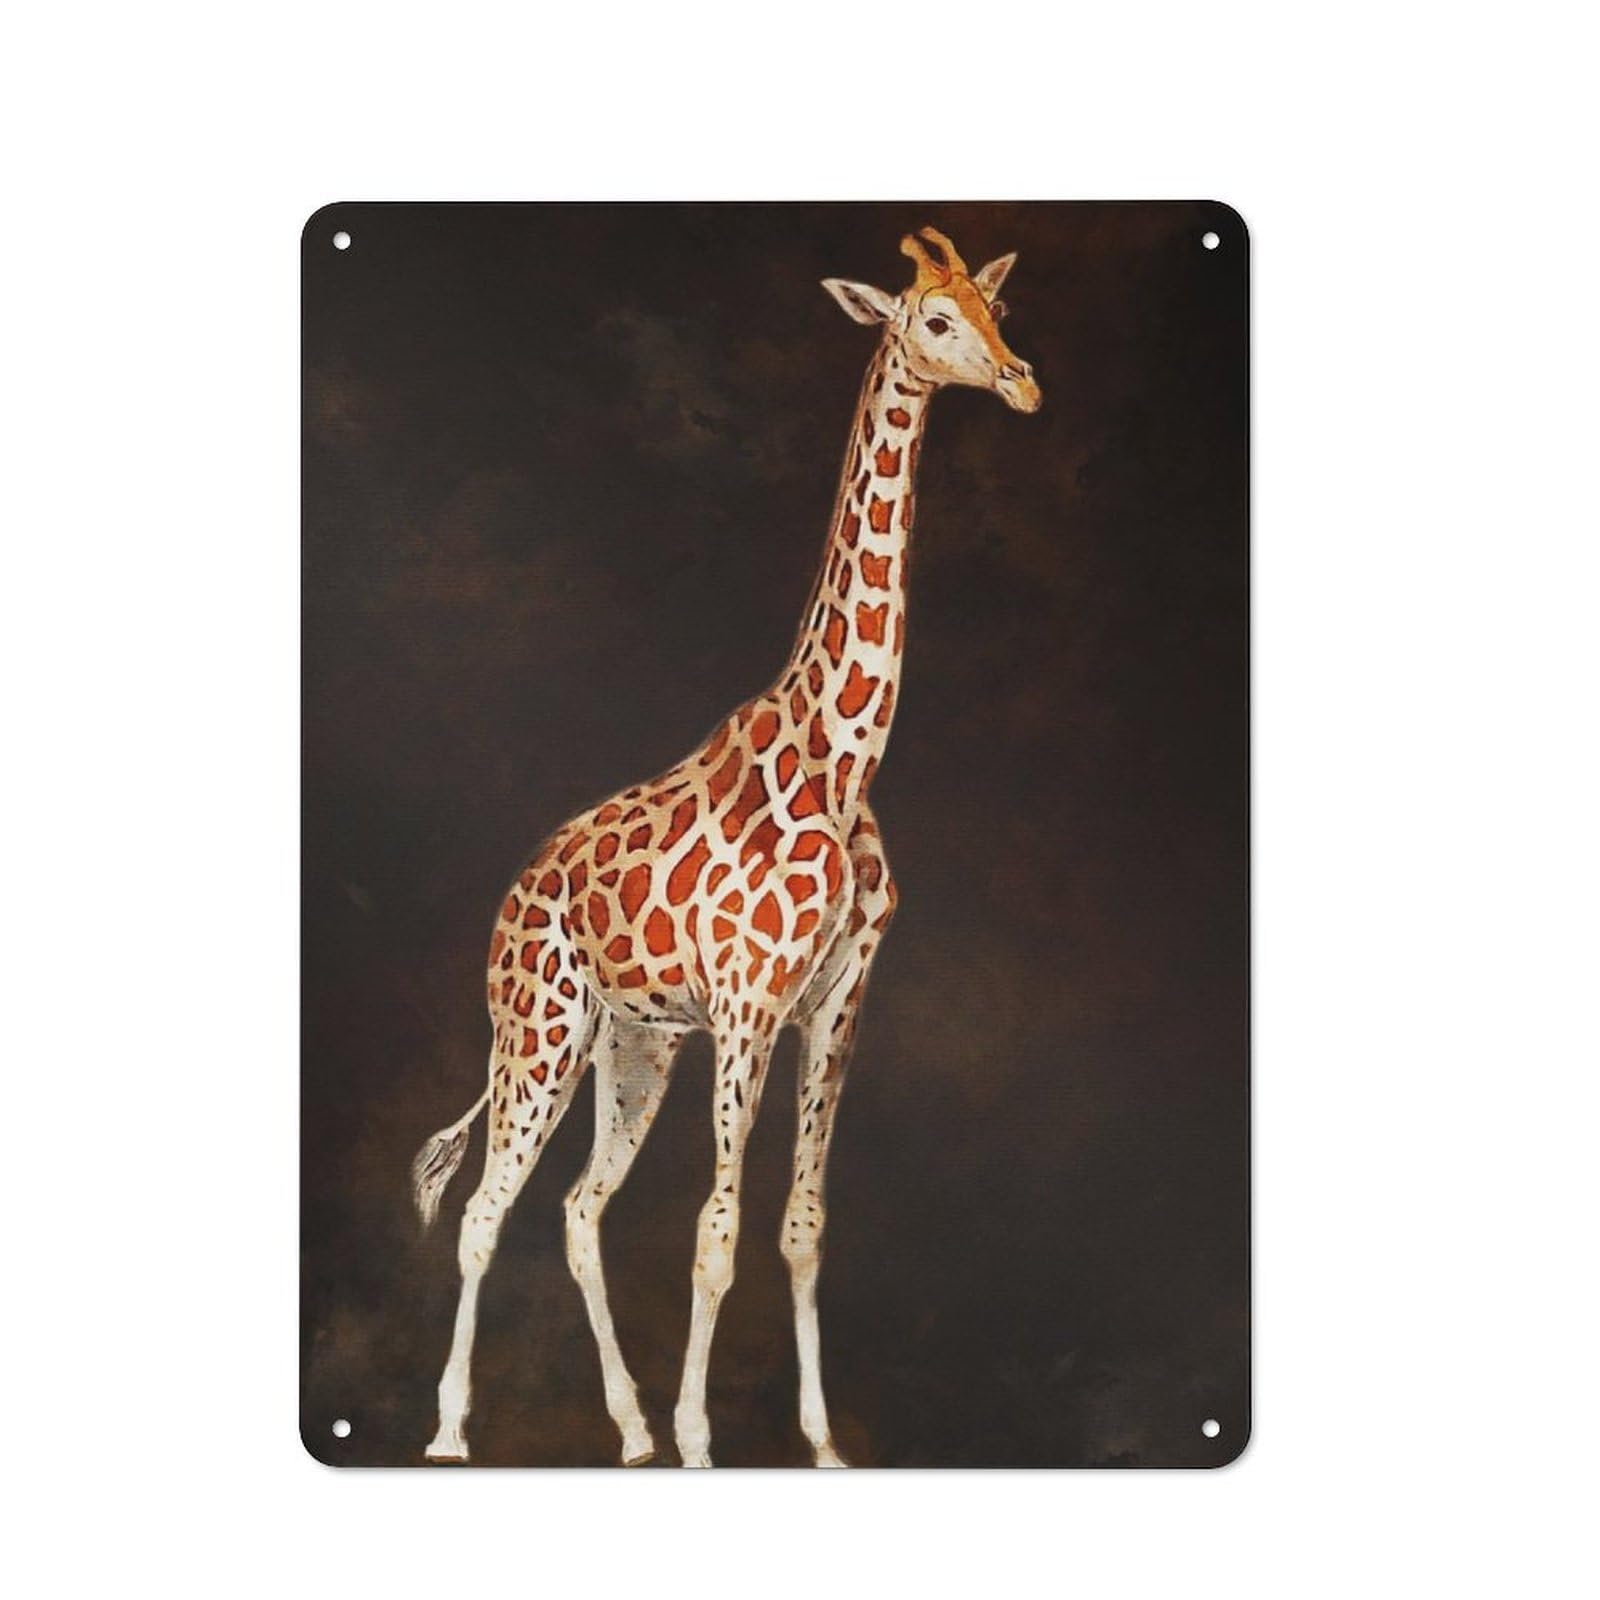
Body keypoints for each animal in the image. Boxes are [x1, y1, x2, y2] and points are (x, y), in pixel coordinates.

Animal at [411, 226, 1041, 1468]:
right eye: (934, 320)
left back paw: (628, 1429)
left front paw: (820, 1442)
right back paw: (455, 1431)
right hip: (539, 1029)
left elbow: (800, 1225)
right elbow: (716, 1230)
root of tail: (511, 897)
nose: (1021, 380)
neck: (845, 762)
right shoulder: (747, 1003)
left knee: (577, 1208)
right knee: (483, 1209)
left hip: (632, 1043)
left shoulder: (835, 1000)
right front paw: (705, 1437)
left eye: (994, 310)